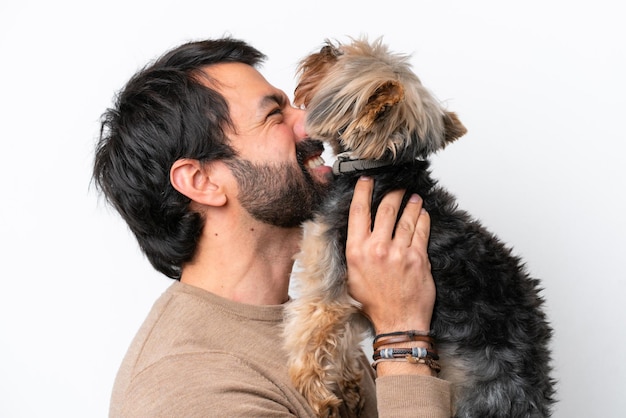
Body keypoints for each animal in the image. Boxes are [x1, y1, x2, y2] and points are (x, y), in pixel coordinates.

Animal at [280, 37, 552, 416]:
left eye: (345, 56)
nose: (325, 47)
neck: (379, 168)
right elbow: (344, 331)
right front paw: (347, 387)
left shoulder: (326, 266)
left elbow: (315, 321)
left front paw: (316, 391)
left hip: (481, 398)